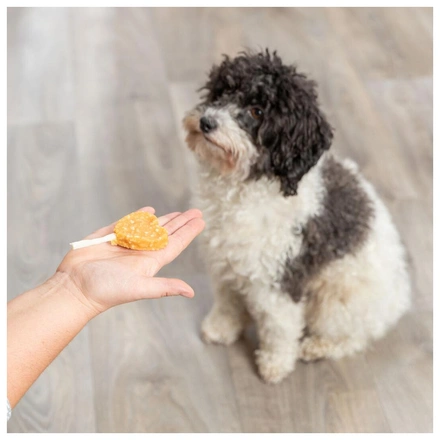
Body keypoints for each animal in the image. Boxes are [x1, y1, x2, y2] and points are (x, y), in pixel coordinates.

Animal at [181, 49, 410, 384]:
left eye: (257, 111)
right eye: (222, 92)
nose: (207, 122)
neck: (245, 187)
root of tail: (398, 300)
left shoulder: (281, 278)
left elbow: (279, 328)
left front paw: (274, 365)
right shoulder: (225, 264)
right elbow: (227, 302)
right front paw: (221, 329)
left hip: (338, 302)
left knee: (353, 338)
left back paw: (316, 347)